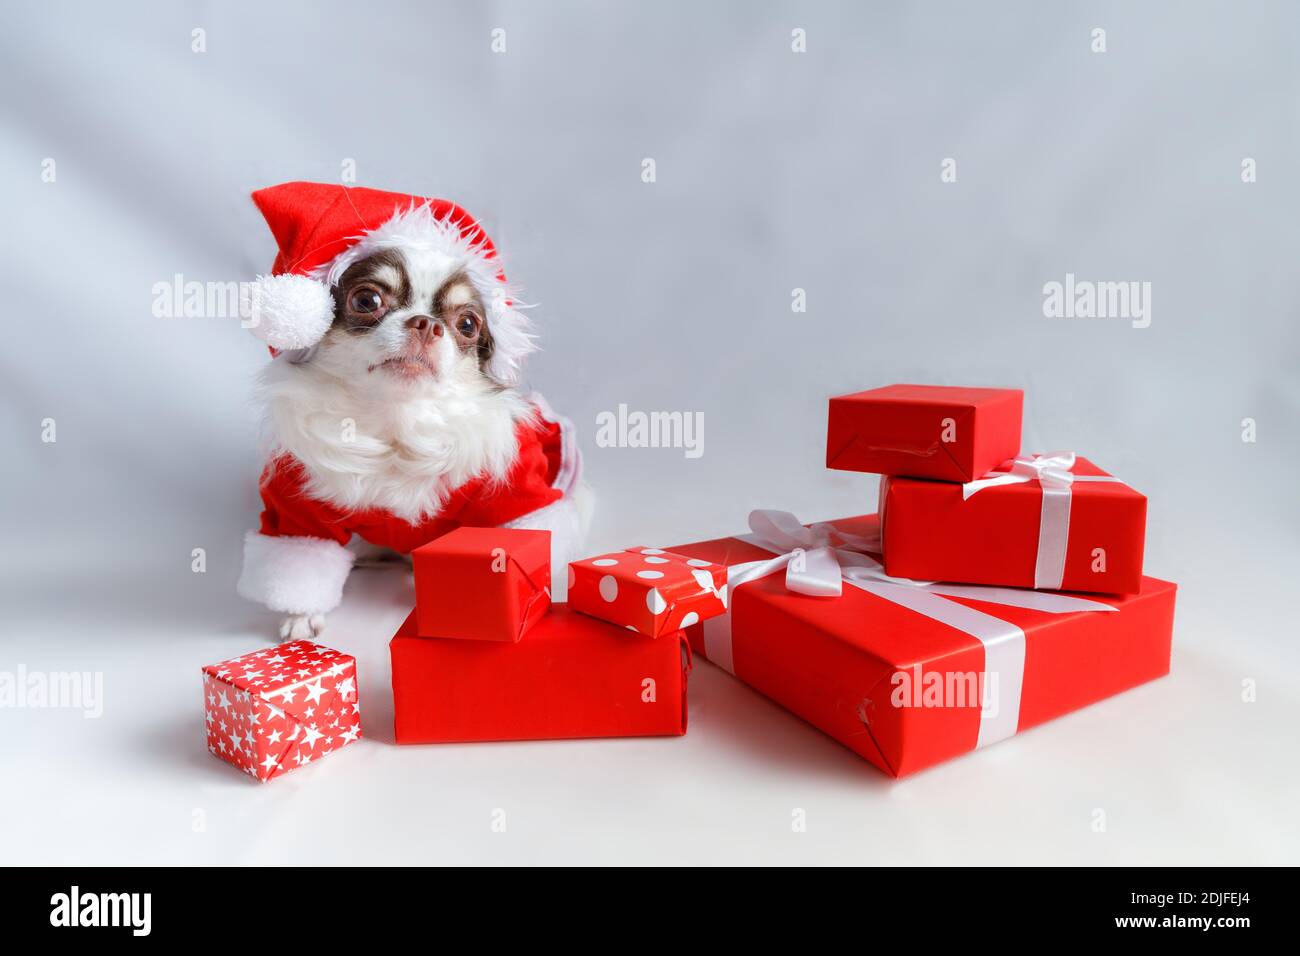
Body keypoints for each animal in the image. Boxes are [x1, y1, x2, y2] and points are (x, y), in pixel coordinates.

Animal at [236, 183, 592, 639]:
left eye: (468, 324)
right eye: (366, 299)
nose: (426, 323)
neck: (394, 424)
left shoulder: (514, 492)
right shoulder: (298, 507)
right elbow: (301, 564)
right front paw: (300, 616)